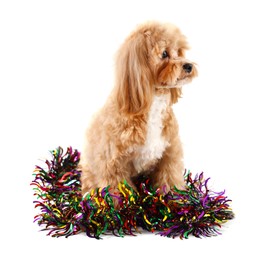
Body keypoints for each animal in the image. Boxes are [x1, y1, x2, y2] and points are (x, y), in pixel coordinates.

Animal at [78, 21, 197, 197]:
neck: (152, 103)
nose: (188, 66)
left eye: (179, 51)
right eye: (164, 53)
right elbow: (118, 192)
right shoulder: (114, 163)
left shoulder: (169, 154)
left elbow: (170, 181)